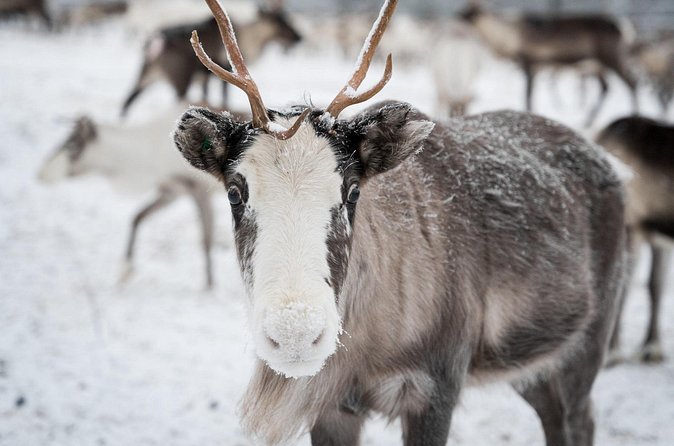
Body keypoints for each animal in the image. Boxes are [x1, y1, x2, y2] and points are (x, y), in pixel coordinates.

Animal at [38, 104, 223, 289]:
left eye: (71, 145)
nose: (42, 173)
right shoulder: (171, 191)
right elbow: (138, 217)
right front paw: (126, 269)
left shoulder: (199, 190)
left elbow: (206, 241)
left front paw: (209, 286)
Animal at [120, 5, 301, 117]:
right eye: (279, 21)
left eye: (287, 19)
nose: (299, 37)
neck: (249, 40)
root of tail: (153, 42)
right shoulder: (223, 69)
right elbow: (223, 98)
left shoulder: (205, 76)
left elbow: (207, 96)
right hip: (181, 78)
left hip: (147, 74)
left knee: (127, 101)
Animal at [459, 2, 638, 128]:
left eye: (467, 14)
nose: (456, 18)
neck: (508, 38)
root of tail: (625, 29)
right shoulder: (536, 67)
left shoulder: (530, 63)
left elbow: (528, 95)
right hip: (597, 65)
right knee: (606, 87)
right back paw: (587, 121)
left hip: (611, 58)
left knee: (631, 83)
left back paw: (633, 116)